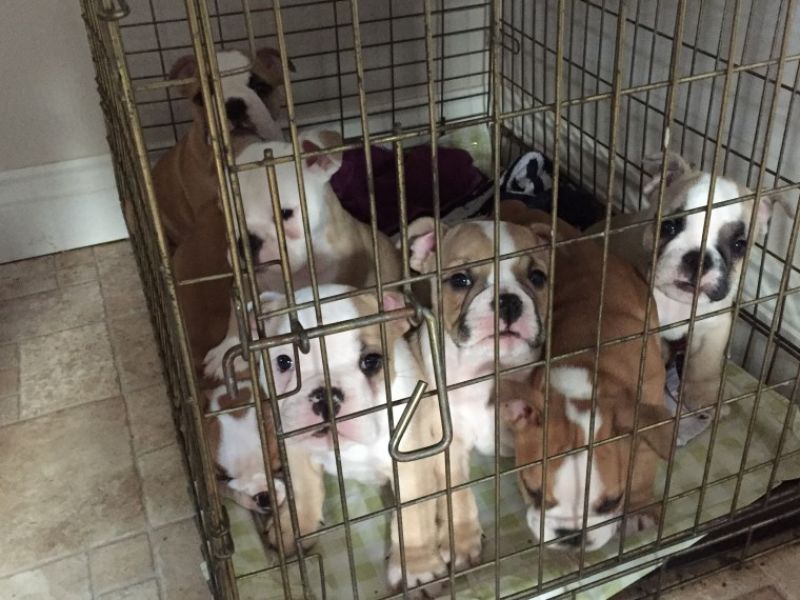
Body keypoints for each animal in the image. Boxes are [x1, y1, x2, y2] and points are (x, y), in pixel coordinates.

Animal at [258, 284, 448, 591]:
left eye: (372, 361)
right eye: (284, 362)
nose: (325, 397)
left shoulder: (411, 465)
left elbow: (413, 516)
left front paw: (417, 567)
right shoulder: (295, 446)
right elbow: (304, 489)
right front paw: (293, 528)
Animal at [405, 217, 552, 568]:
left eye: (537, 277)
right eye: (460, 280)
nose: (508, 300)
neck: (485, 369)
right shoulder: (449, 445)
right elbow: (458, 492)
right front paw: (461, 539)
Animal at [500, 209, 673, 551]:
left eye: (612, 503)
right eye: (533, 492)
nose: (570, 535)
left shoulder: (645, 409)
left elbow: (644, 463)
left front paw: (639, 508)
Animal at [591, 153, 785, 416]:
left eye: (739, 245)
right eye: (669, 226)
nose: (699, 258)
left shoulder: (713, 327)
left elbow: (704, 364)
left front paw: (702, 396)